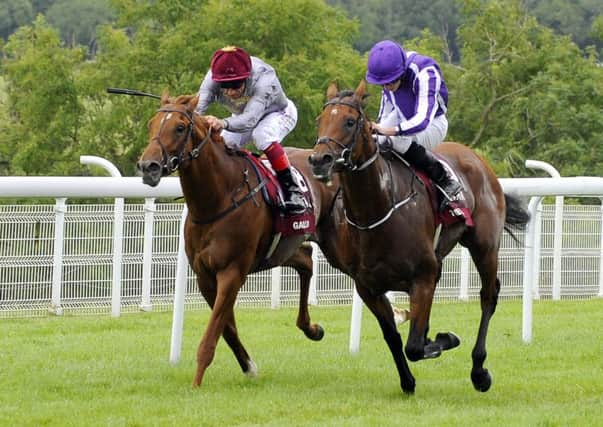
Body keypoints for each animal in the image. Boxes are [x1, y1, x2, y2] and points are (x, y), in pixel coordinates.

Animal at [136, 92, 344, 390]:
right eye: (152, 124)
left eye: (179, 127)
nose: (148, 166)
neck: (217, 198)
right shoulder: (204, 275)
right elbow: (226, 327)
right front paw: (249, 367)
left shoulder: (232, 271)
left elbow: (213, 332)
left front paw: (196, 383)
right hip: (284, 247)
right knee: (305, 260)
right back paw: (311, 328)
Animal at [310, 80, 532, 394]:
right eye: (321, 120)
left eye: (350, 121)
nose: (319, 160)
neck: (377, 210)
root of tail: (475, 157)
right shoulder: (368, 286)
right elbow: (394, 337)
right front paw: (408, 381)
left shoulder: (422, 276)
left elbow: (414, 346)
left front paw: (443, 340)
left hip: (484, 246)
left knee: (489, 296)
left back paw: (479, 371)